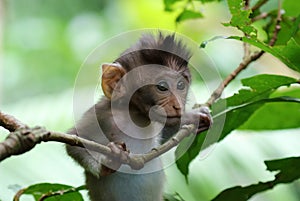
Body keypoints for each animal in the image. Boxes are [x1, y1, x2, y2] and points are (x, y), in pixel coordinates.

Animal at [66, 33, 211, 201]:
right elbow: (75, 140)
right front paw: (107, 163)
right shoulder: (102, 114)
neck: (136, 114)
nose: (178, 106)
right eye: (162, 87)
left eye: (181, 85)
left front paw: (195, 117)